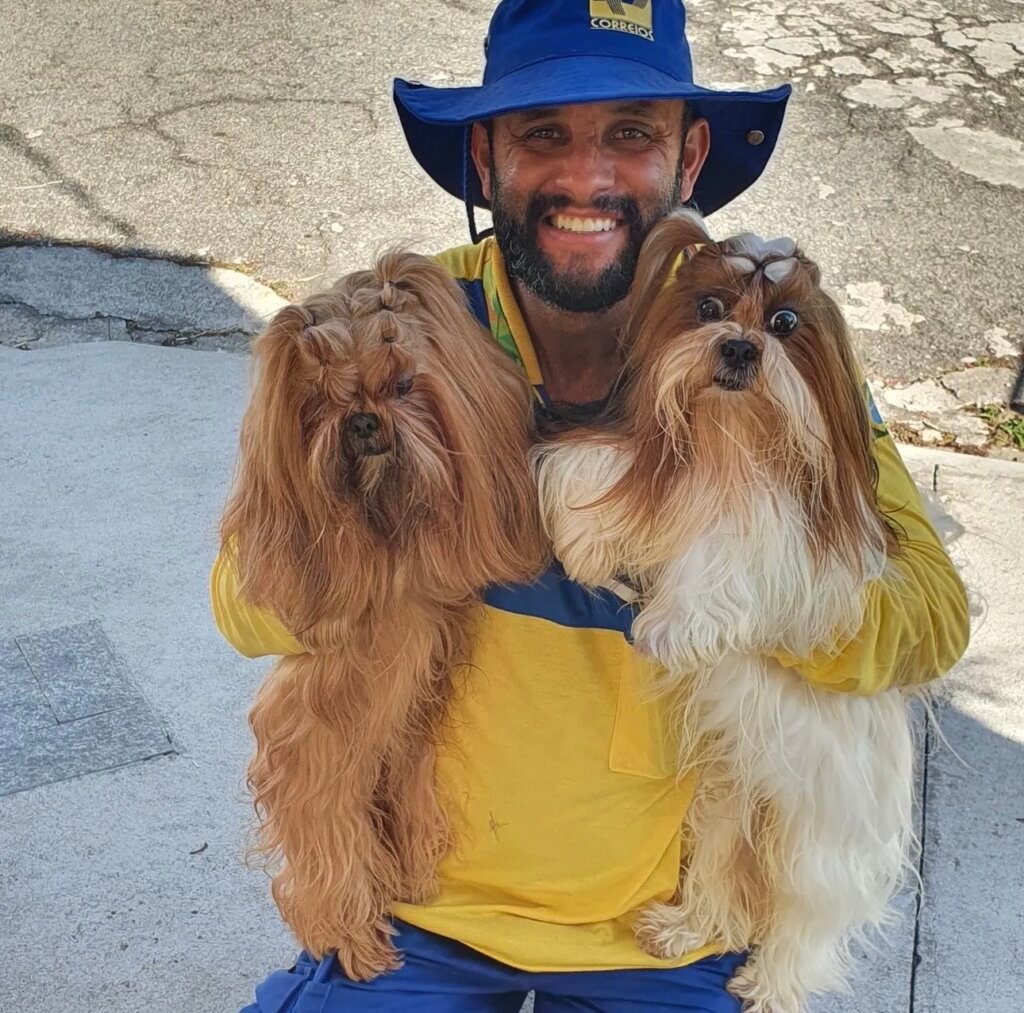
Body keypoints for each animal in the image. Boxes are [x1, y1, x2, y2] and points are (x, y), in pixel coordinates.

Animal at [220, 250, 546, 980]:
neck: (389, 518)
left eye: (401, 383)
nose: (363, 422)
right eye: (318, 398)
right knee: (330, 854)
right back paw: (354, 931)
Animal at [534, 211, 917, 1012]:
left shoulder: (800, 542)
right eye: (708, 308)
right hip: (724, 801)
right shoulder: (642, 457)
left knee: (803, 928)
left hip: (817, 835)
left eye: (784, 322)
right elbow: (591, 470)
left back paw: (770, 987)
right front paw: (588, 542)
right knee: (725, 889)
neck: (729, 443)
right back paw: (684, 928)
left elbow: (735, 547)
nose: (739, 347)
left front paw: (675, 626)